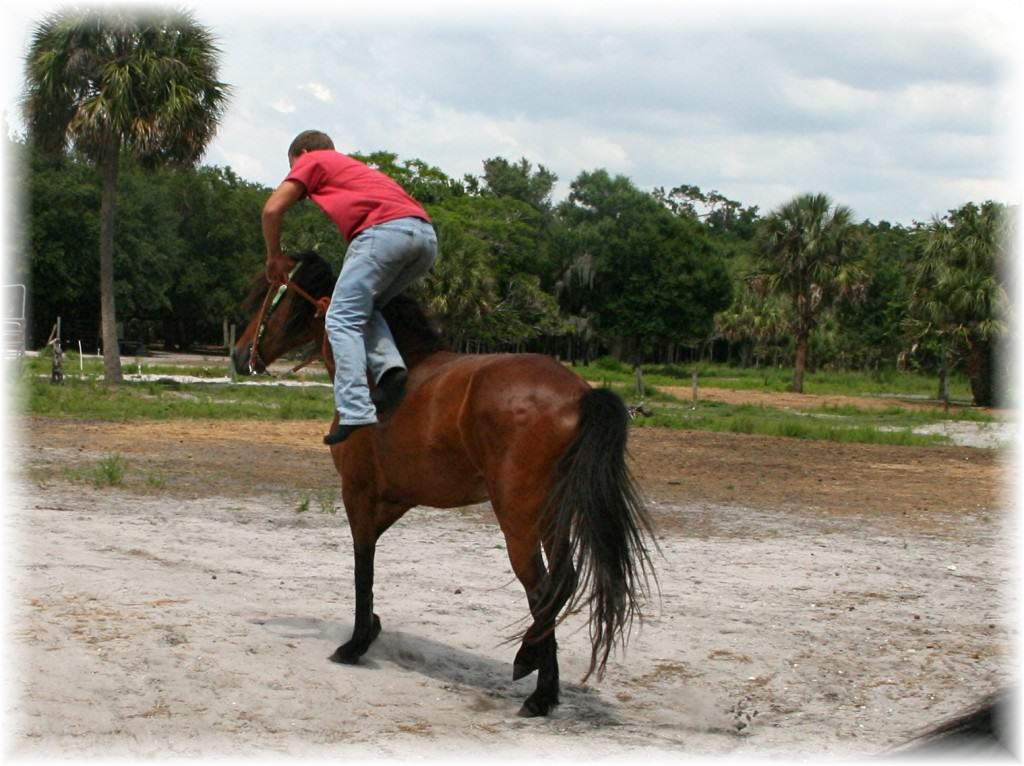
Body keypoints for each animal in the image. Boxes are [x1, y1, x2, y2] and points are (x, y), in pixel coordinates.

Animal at [230, 250, 655, 716]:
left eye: (273, 296)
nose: (237, 354)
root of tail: (580, 394)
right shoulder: (397, 497)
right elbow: (370, 556)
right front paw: (371, 628)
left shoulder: (358, 493)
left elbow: (363, 566)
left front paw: (356, 643)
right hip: (552, 515)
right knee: (563, 581)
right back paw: (544, 681)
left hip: (520, 519)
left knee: (543, 589)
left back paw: (535, 681)